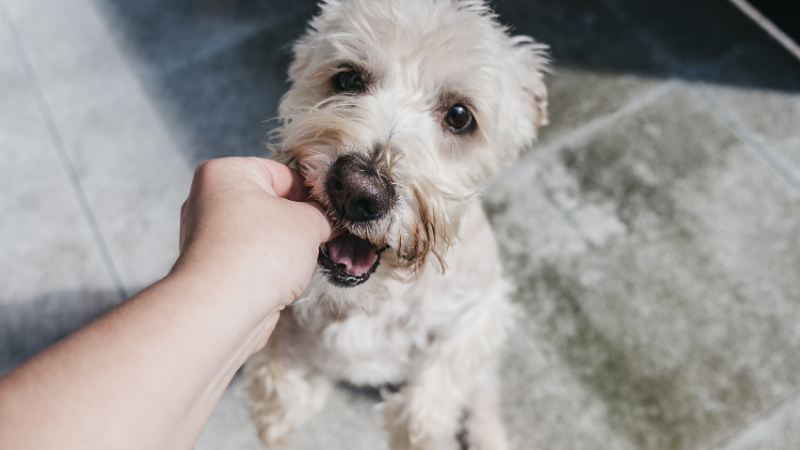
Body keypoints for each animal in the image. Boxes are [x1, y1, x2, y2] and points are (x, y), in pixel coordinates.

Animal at [241, 1, 548, 448]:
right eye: (348, 79)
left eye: (460, 116)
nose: (359, 191)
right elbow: (278, 360)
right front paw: (281, 410)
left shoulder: (484, 311)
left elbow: (433, 393)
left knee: (485, 393)